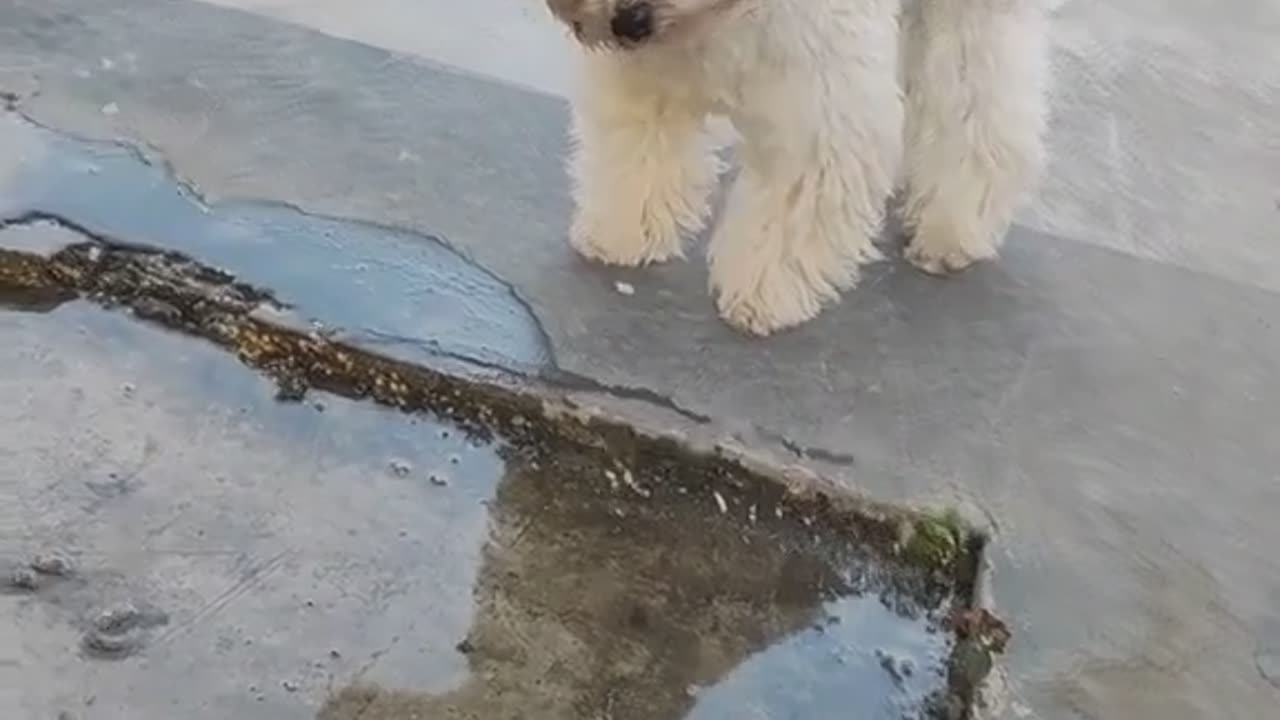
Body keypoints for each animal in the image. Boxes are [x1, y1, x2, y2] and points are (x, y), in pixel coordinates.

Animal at [545, 0, 1044, 335]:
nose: (630, 20)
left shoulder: (820, 96)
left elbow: (793, 206)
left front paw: (765, 293)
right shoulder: (648, 71)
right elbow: (638, 149)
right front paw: (624, 232)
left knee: (983, 107)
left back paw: (950, 230)